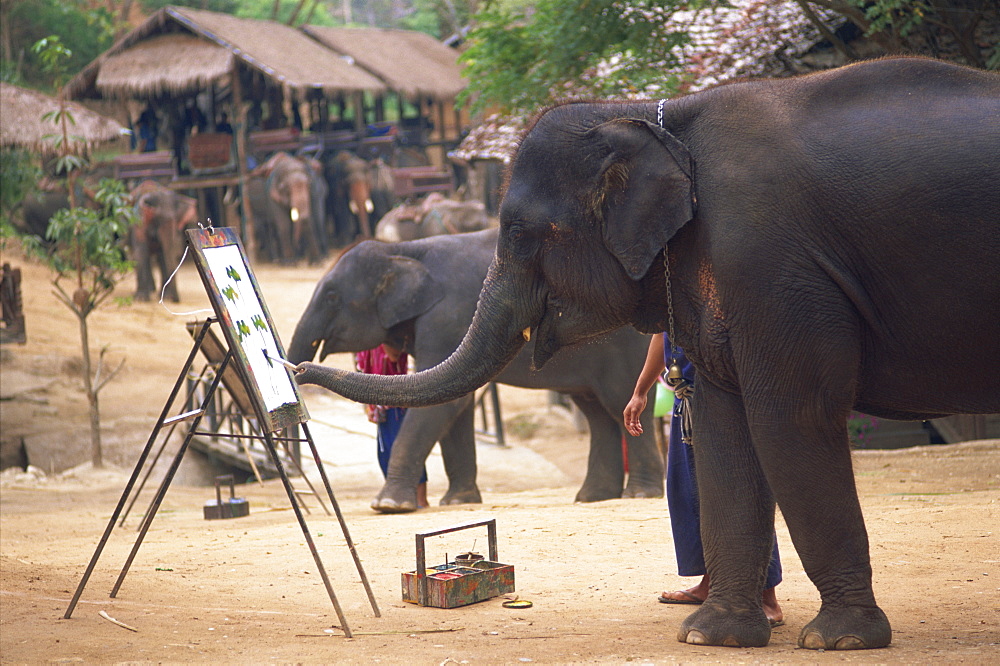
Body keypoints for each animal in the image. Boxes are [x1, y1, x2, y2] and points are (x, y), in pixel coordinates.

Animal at [294, 57, 1000, 648]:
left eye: (520, 232)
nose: (296, 367)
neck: (652, 115)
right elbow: (722, 424)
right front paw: (712, 636)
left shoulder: (771, 264)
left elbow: (789, 417)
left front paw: (839, 640)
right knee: (601, 412)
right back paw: (597, 502)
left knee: (613, 408)